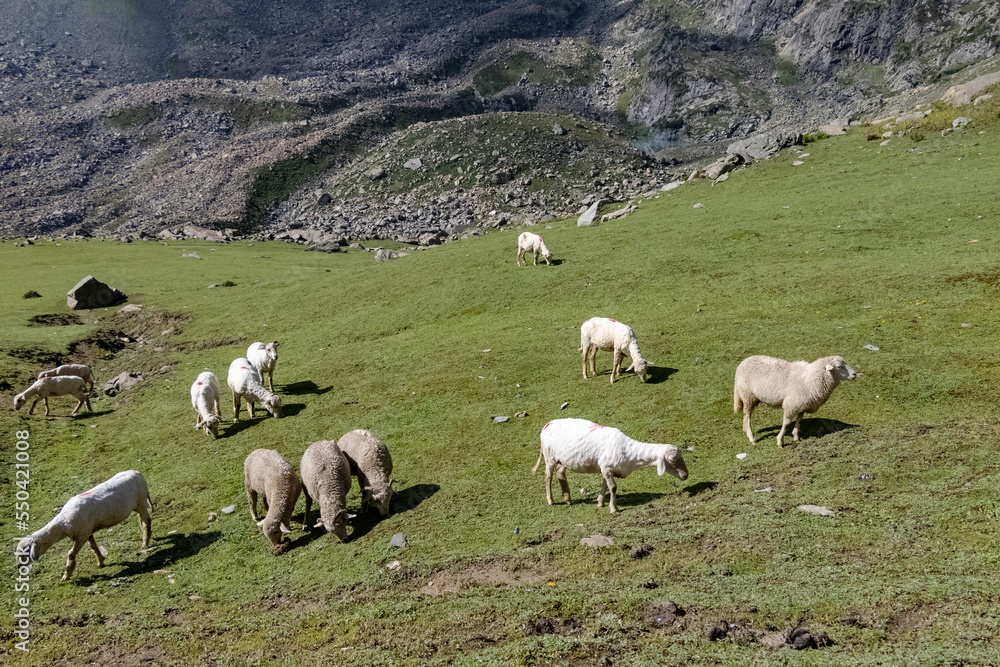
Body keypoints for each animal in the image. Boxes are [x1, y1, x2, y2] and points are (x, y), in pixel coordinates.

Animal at [14, 470, 152, 581]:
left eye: (24, 552)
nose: (18, 566)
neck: (63, 523)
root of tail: (137, 473)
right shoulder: (87, 531)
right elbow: (93, 546)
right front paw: (100, 562)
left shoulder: (82, 535)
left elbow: (71, 555)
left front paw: (66, 576)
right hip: (137, 505)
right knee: (141, 519)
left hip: (141, 501)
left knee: (147, 521)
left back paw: (145, 541)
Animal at [532, 418, 688, 514]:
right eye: (672, 460)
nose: (686, 475)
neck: (629, 452)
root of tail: (547, 425)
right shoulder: (606, 467)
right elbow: (613, 487)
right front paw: (614, 508)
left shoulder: (607, 469)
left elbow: (605, 485)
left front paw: (600, 502)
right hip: (549, 457)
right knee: (548, 476)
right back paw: (551, 500)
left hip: (563, 459)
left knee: (560, 473)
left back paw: (567, 498)